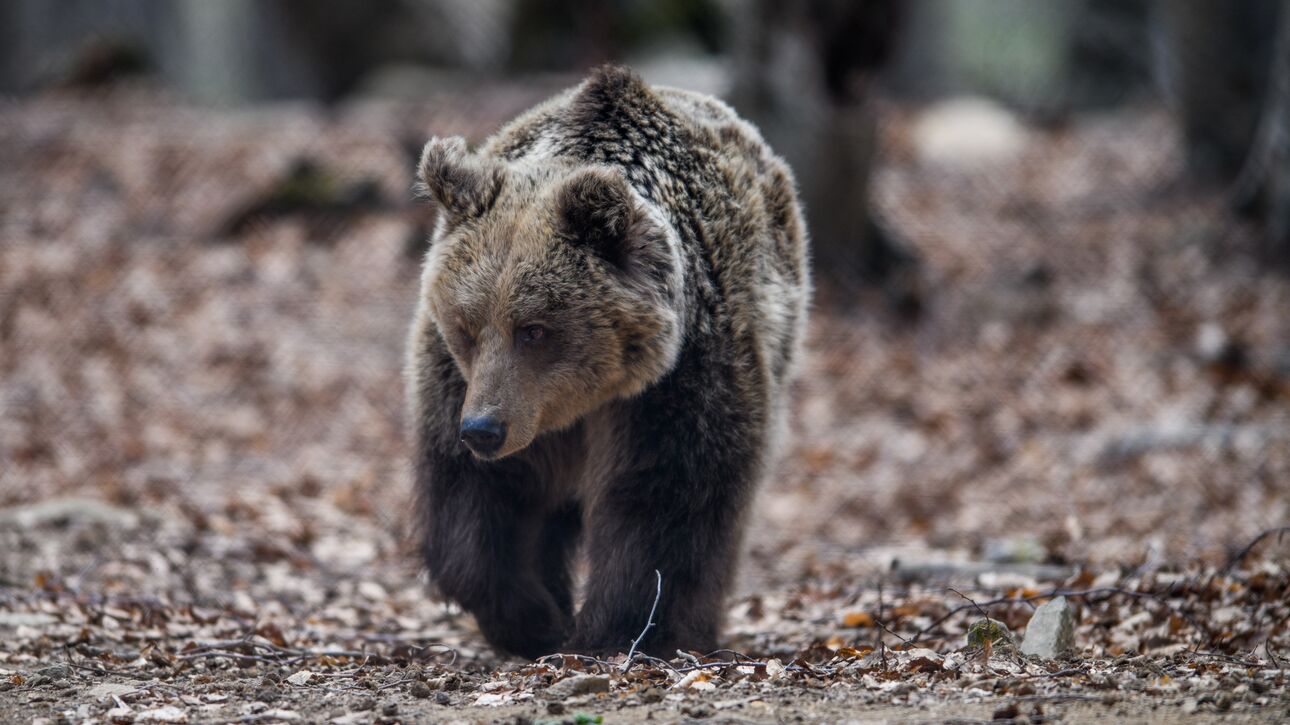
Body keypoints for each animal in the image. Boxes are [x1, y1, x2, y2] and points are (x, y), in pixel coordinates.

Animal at [405, 64, 804, 657]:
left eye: (534, 329)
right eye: (466, 327)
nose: (483, 430)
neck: (582, 400)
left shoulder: (680, 377)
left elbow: (663, 496)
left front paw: (616, 629)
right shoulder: (463, 384)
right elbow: (477, 500)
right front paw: (535, 619)